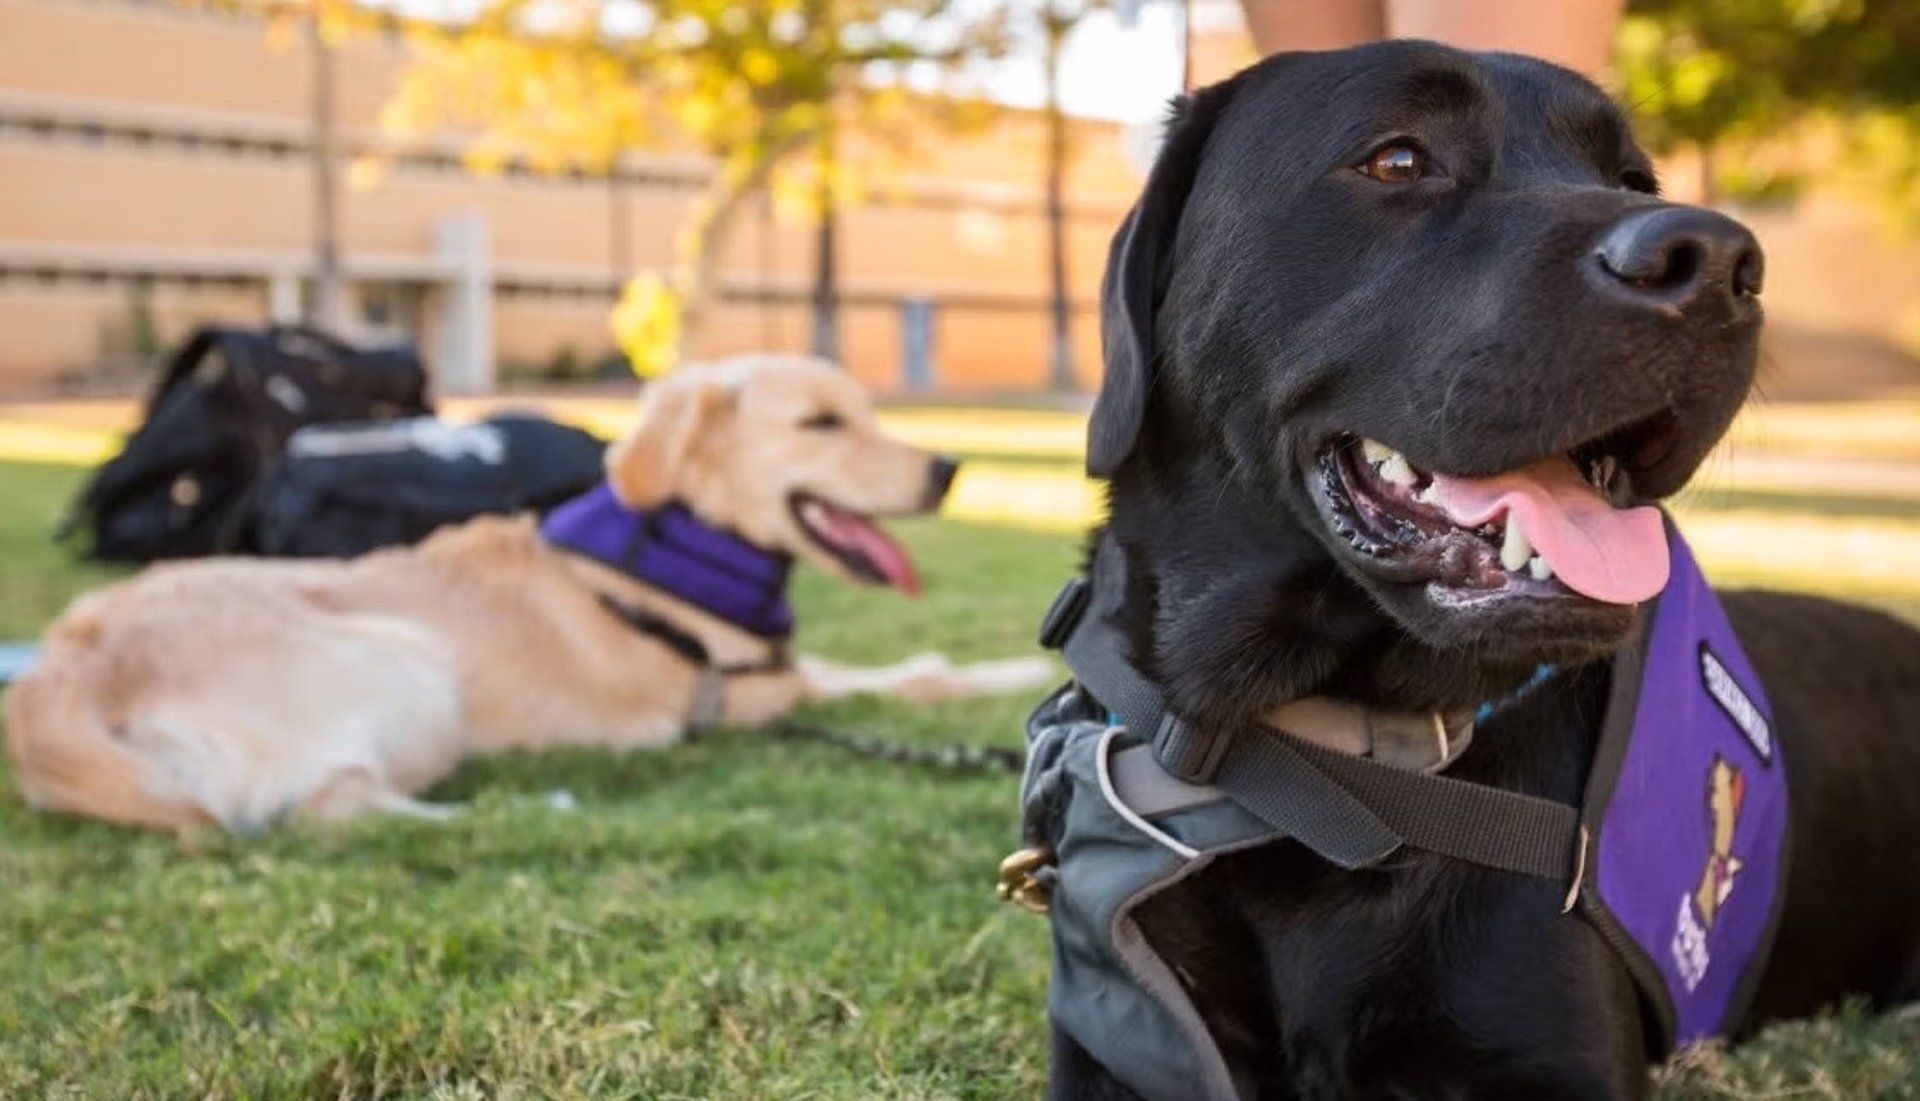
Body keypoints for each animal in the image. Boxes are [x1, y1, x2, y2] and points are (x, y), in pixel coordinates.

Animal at [7, 355, 1052, 830]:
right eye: (822, 422)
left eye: (867, 411)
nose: (950, 467)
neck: (682, 538)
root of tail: (66, 663)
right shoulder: (761, 691)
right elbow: (921, 675)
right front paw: (1003, 673)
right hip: (408, 665)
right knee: (325, 803)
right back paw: (529, 806)